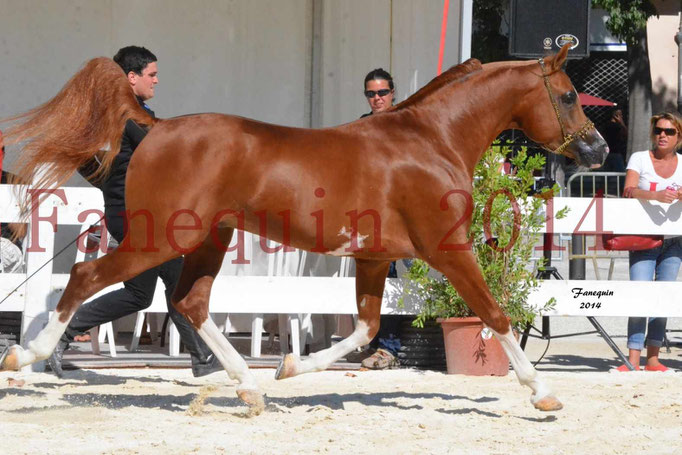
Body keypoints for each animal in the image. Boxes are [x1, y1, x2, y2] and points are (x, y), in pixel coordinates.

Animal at [0, 45, 604, 414]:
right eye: (568, 96)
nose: (597, 149)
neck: (432, 141)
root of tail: (156, 126)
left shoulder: (373, 258)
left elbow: (363, 328)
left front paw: (289, 368)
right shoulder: (447, 248)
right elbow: (494, 314)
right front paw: (543, 394)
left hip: (209, 239)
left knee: (189, 301)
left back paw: (249, 387)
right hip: (161, 239)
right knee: (87, 278)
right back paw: (24, 361)